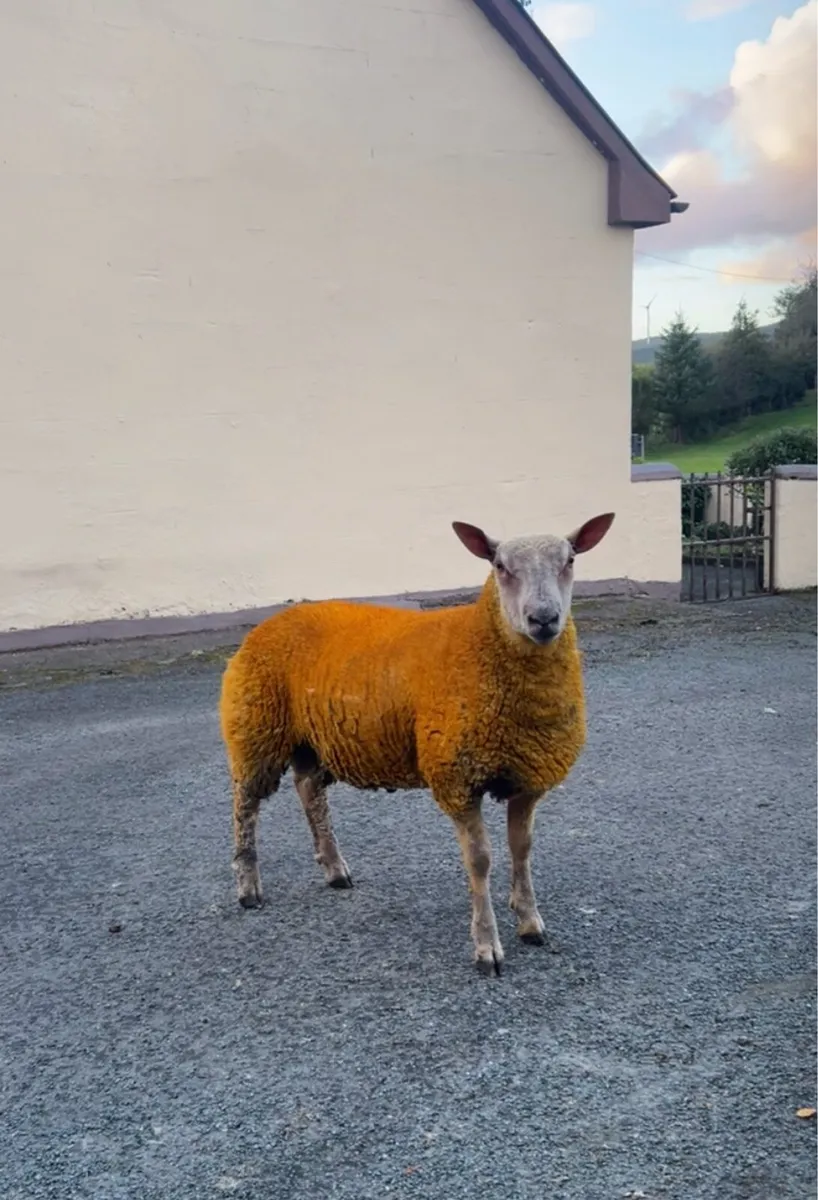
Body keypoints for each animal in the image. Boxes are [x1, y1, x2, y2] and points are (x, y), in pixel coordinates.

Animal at [219, 511, 615, 975]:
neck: (479, 642)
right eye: (499, 566)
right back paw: (249, 887)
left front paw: (530, 922)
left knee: (309, 790)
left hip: (308, 738)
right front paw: (487, 946)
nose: (544, 618)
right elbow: (480, 860)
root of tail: (270, 622)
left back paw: (334, 869)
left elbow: (522, 849)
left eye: (570, 560)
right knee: (246, 805)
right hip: (256, 729)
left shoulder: (527, 776)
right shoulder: (456, 777)